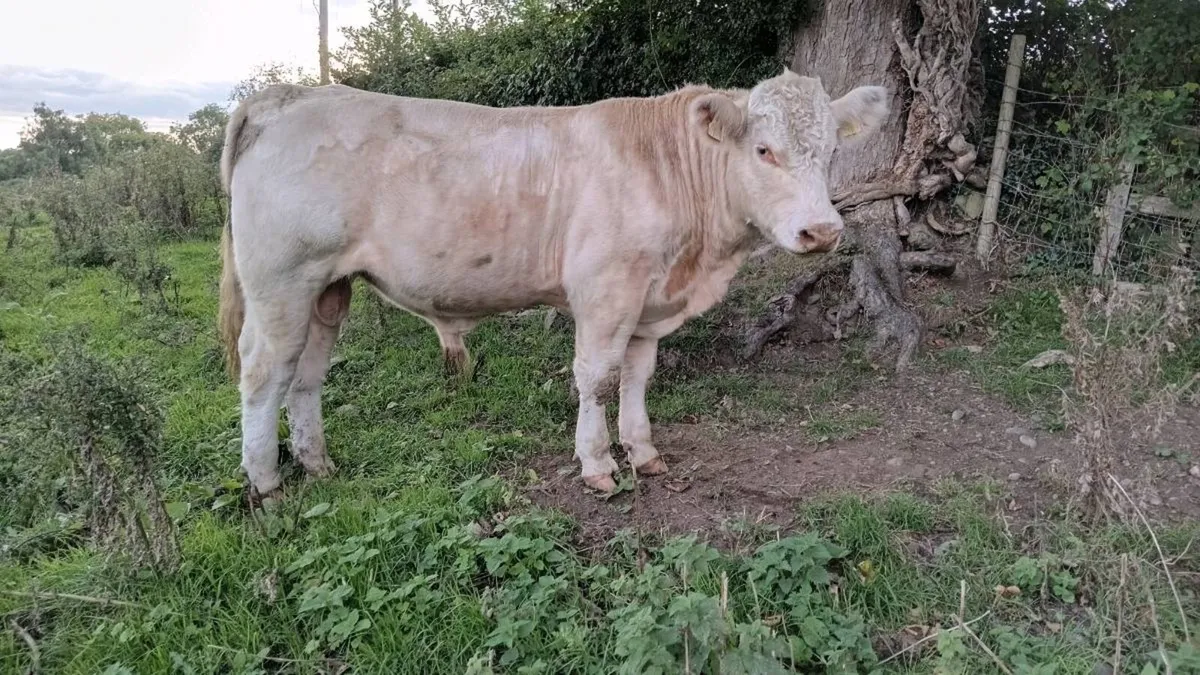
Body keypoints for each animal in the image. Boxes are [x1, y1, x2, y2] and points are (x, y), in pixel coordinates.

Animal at [217, 68, 889, 498]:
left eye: (832, 151)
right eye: (764, 150)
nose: (822, 231)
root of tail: (284, 97)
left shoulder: (649, 300)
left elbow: (637, 378)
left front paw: (643, 453)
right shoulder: (605, 290)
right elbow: (596, 379)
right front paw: (597, 464)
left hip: (327, 289)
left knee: (305, 375)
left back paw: (316, 464)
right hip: (282, 281)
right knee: (263, 372)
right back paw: (266, 483)